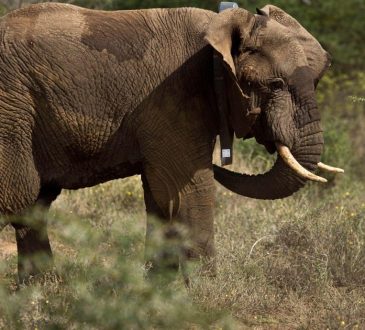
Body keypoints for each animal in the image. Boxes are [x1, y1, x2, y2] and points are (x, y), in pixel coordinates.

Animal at [0, 1, 342, 282]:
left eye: (316, 81)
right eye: (275, 84)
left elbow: (160, 194)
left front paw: (159, 291)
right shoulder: (173, 94)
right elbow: (188, 189)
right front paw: (207, 297)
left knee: (35, 205)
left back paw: (43, 290)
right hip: (12, 110)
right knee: (19, 196)